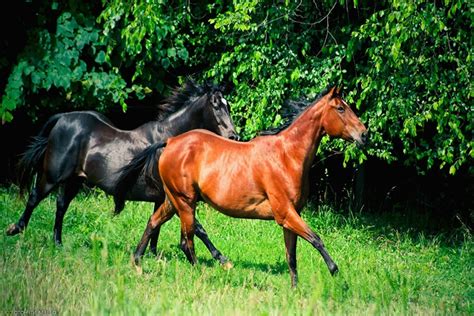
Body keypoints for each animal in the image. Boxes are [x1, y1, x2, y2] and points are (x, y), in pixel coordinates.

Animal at [6, 80, 237, 266]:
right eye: (216, 105)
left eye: (228, 105)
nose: (234, 136)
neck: (169, 141)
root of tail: (63, 118)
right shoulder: (176, 196)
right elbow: (196, 227)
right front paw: (221, 258)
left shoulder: (163, 197)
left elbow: (158, 225)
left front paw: (153, 255)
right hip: (53, 176)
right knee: (35, 197)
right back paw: (16, 229)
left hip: (74, 181)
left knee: (61, 205)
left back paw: (58, 243)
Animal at [123, 87, 366, 286]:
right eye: (340, 108)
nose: (364, 134)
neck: (287, 156)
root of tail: (171, 142)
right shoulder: (285, 214)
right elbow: (316, 239)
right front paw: (337, 275)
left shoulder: (290, 217)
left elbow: (292, 257)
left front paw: (295, 290)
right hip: (185, 203)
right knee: (186, 242)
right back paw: (202, 273)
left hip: (173, 201)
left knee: (154, 222)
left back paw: (137, 263)